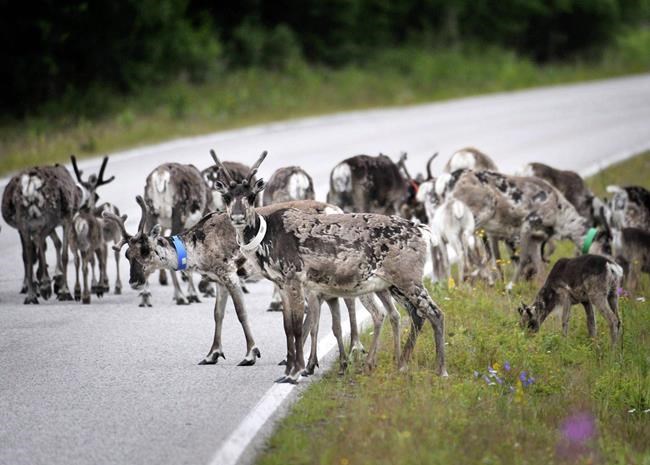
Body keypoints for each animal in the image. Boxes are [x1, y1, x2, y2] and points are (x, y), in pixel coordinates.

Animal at [2, 164, 80, 303]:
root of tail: (31, 186)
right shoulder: (67, 218)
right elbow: (64, 255)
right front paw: (64, 291)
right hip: (48, 219)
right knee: (39, 244)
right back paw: (44, 285)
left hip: (25, 222)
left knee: (30, 252)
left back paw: (33, 294)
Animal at [141, 162, 210, 306]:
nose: (206, 288)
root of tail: (160, 176)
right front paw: (192, 294)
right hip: (179, 214)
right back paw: (180, 296)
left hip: (151, 214)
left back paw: (145, 296)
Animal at [210, 149, 447, 384]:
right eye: (227, 196)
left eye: (251, 196)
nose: (237, 217)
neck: (266, 239)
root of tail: (422, 231)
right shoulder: (282, 284)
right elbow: (287, 327)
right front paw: (286, 372)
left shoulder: (294, 279)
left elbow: (297, 326)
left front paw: (295, 372)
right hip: (393, 284)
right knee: (416, 314)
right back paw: (402, 365)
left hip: (408, 279)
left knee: (435, 312)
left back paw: (441, 370)